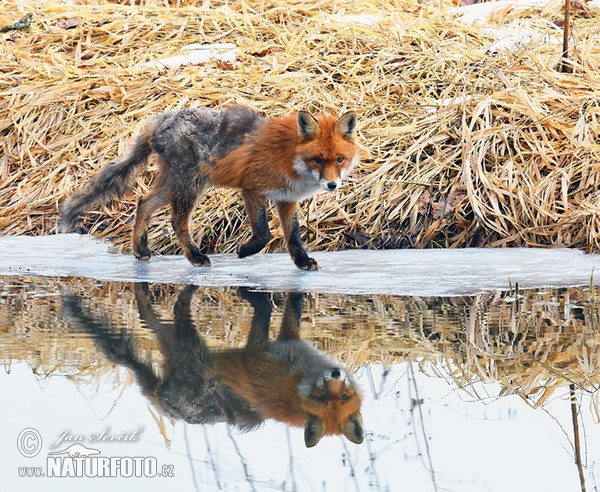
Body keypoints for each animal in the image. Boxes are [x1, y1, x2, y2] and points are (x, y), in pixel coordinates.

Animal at [59, 105, 360, 270]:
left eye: (339, 159)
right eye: (318, 159)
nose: (332, 185)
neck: (290, 158)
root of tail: (162, 119)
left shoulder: (286, 199)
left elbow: (294, 236)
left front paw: (302, 262)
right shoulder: (252, 190)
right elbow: (263, 233)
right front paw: (245, 251)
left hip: (174, 185)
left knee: (143, 203)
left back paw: (140, 250)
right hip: (189, 187)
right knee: (176, 222)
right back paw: (195, 256)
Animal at [61, 286, 364, 448]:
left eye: (344, 396)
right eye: (323, 396)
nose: (335, 373)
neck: (297, 384)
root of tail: (166, 405)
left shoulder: (288, 341)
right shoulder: (260, 353)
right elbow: (271, 315)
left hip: (178, 347)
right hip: (188, 340)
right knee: (159, 313)